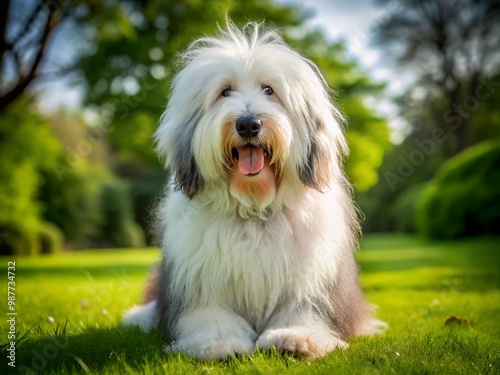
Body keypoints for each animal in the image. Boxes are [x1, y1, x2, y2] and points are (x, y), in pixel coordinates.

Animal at [122, 21, 386, 362]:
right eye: (225, 92)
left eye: (269, 90)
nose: (248, 124)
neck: (253, 208)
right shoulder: (202, 281)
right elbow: (211, 315)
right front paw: (218, 343)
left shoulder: (308, 280)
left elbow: (302, 310)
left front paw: (296, 338)